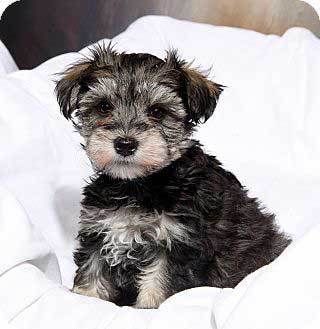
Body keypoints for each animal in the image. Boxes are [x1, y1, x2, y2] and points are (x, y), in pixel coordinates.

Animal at [55, 44, 292, 308]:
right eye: (104, 107)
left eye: (157, 111)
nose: (125, 144)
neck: (137, 185)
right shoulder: (99, 231)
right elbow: (91, 272)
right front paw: (85, 300)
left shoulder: (176, 242)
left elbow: (157, 284)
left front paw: (147, 309)